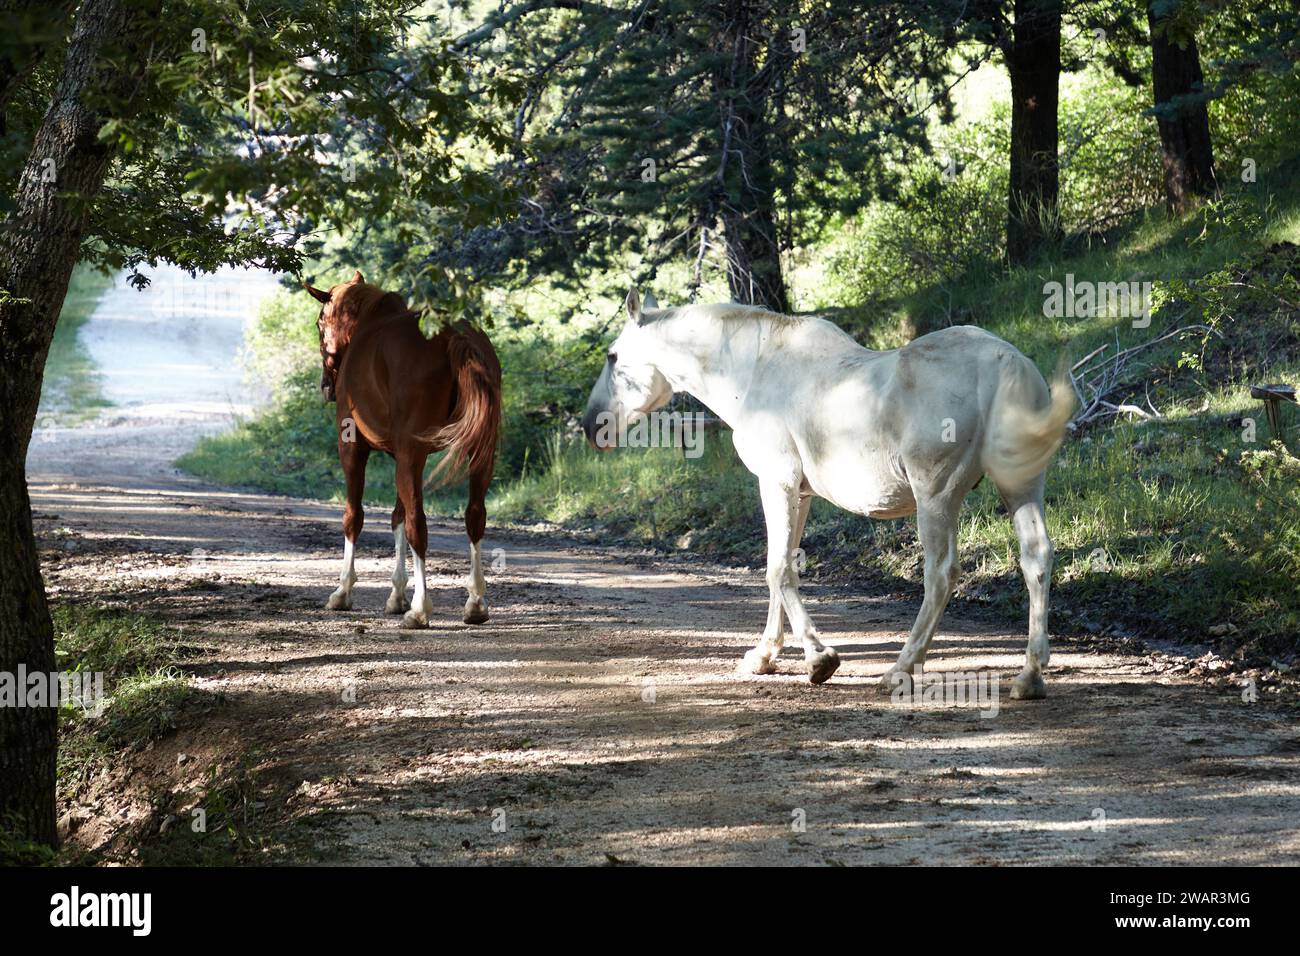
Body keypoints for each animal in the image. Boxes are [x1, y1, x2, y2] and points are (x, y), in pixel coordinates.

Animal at [305, 269, 501, 632]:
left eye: (319, 324)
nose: (326, 387)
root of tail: (452, 335)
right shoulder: (401, 455)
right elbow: (397, 517)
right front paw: (396, 594)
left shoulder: (353, 448)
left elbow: (355, 517)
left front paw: (343, 591)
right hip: (481, 452)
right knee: (474, 517)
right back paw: (475, 603)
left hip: (410, 455)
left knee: (418, 526)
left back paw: (421, 610)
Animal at [585, 287, 1071, 697]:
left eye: (613, 356)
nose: (592, 427)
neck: (754, 370)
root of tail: (1005, 361)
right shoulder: (798, 494)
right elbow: (781, 567)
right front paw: (764, 656)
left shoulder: (776, 483)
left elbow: (777, 569)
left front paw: (819, 659)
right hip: (1020, 486)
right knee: (1036, 559)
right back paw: (1029, 676)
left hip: (936, 497)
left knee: (941, 575)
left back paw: (900, 670)